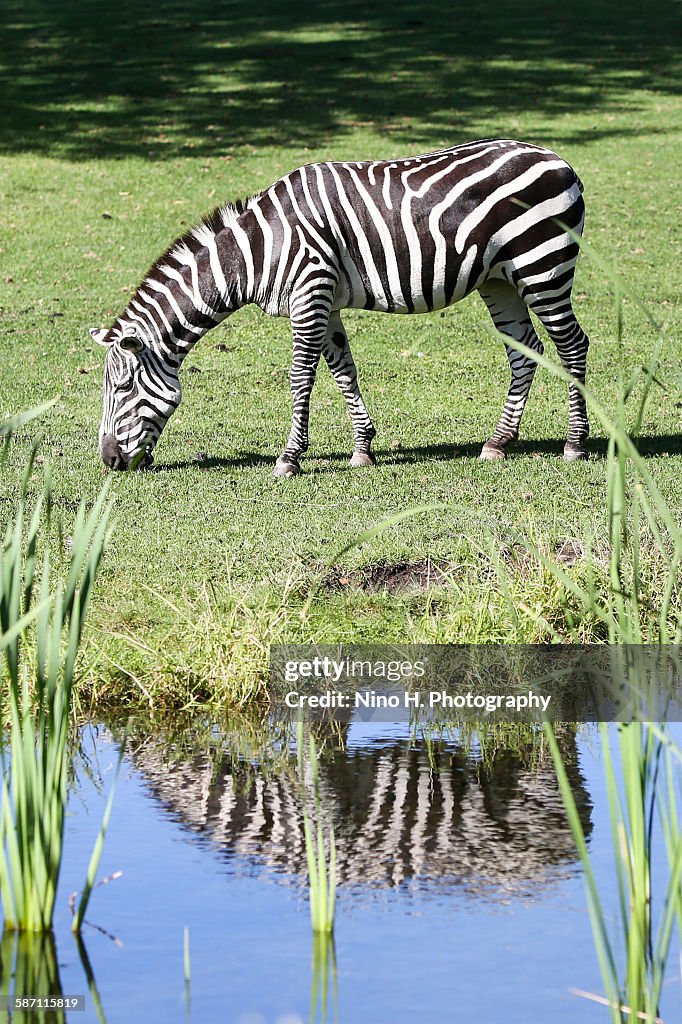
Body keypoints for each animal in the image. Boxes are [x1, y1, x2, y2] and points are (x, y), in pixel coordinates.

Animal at [91, 139, 589, 475]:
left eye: (121, 388)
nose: (109, 461)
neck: (260, 248)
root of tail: (558, 159)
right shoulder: (323, 300)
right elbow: (343, 369)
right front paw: (363, 449)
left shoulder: (310, 290)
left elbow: (301, 376)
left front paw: (289, 458)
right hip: (500, 279)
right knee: (525, 351)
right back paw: (499, 442)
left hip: (543, 265)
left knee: (572, 345)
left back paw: (575, 445)